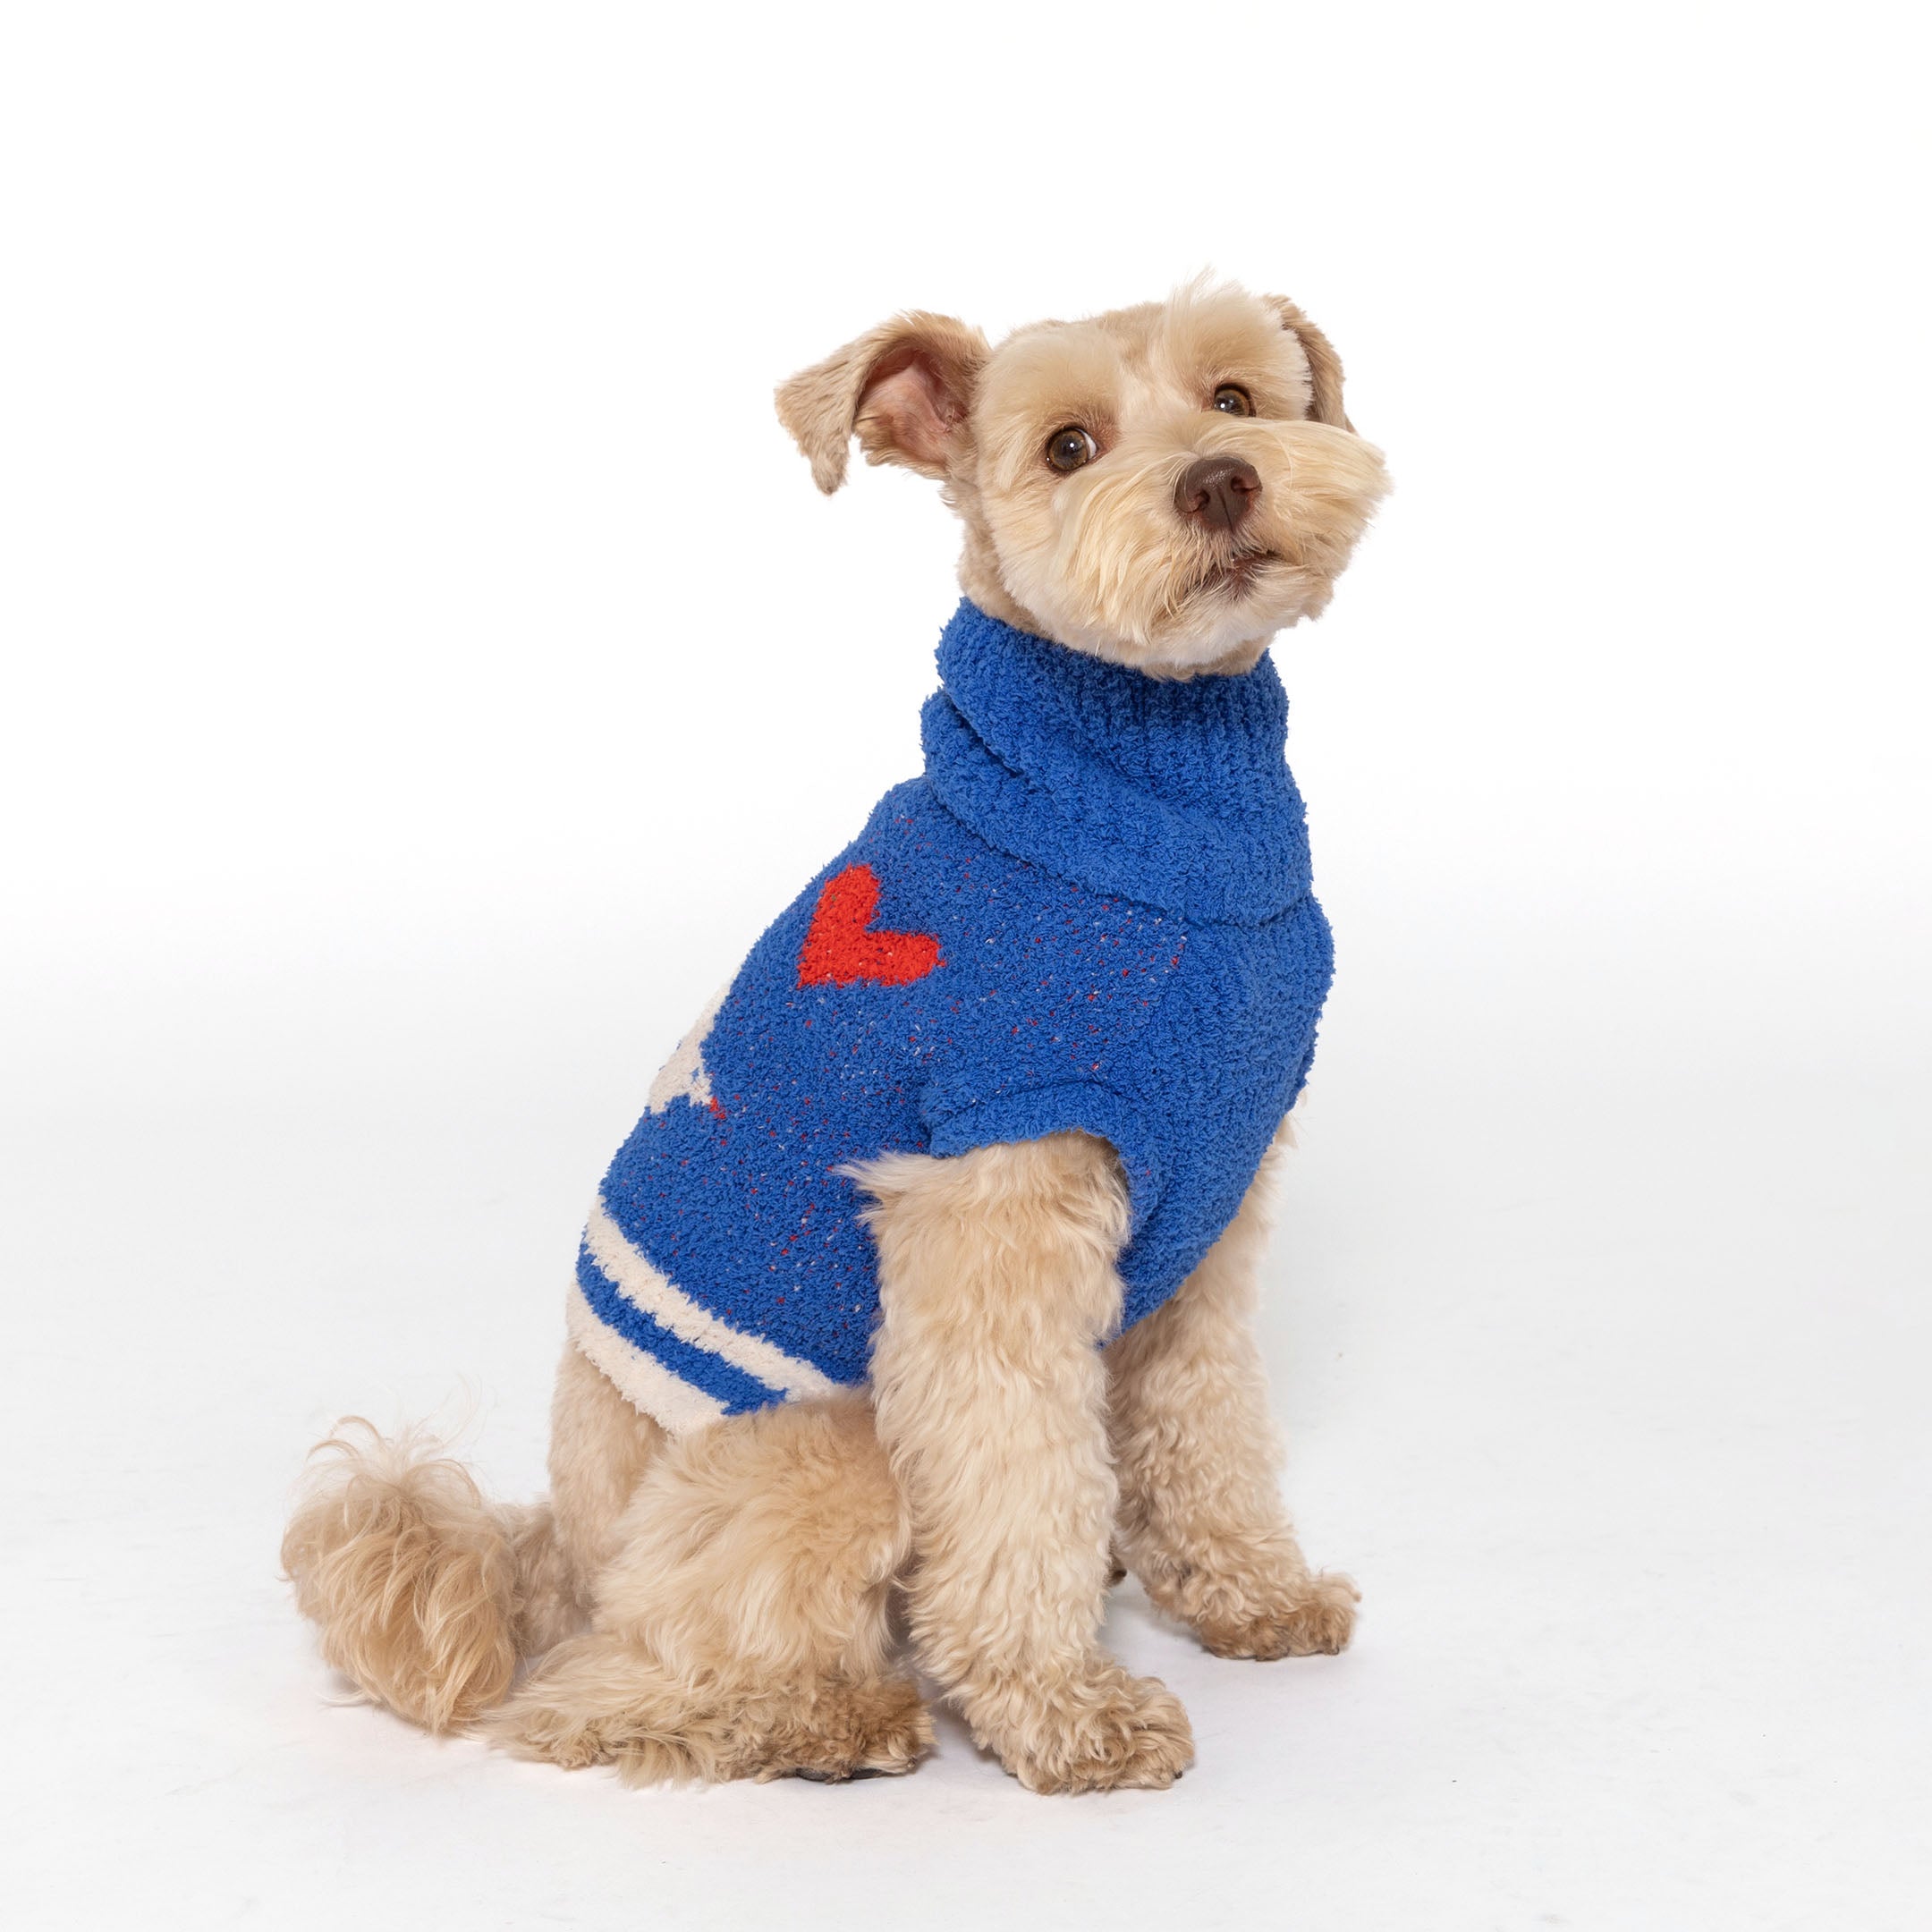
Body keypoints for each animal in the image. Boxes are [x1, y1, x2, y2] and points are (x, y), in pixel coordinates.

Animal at [282, 275, 1391, 1792]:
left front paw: (1247, 1594)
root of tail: (559, 1543)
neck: (1149, 817)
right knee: (601, 1691)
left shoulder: (1200, 1246)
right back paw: (828, 1718)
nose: (1222, 479)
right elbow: (1018, 1489)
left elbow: (1204, 1431)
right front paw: (1063, 1709)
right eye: (1068, 447)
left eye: (1236, 398)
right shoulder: (988, 1225)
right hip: (827, 1449)